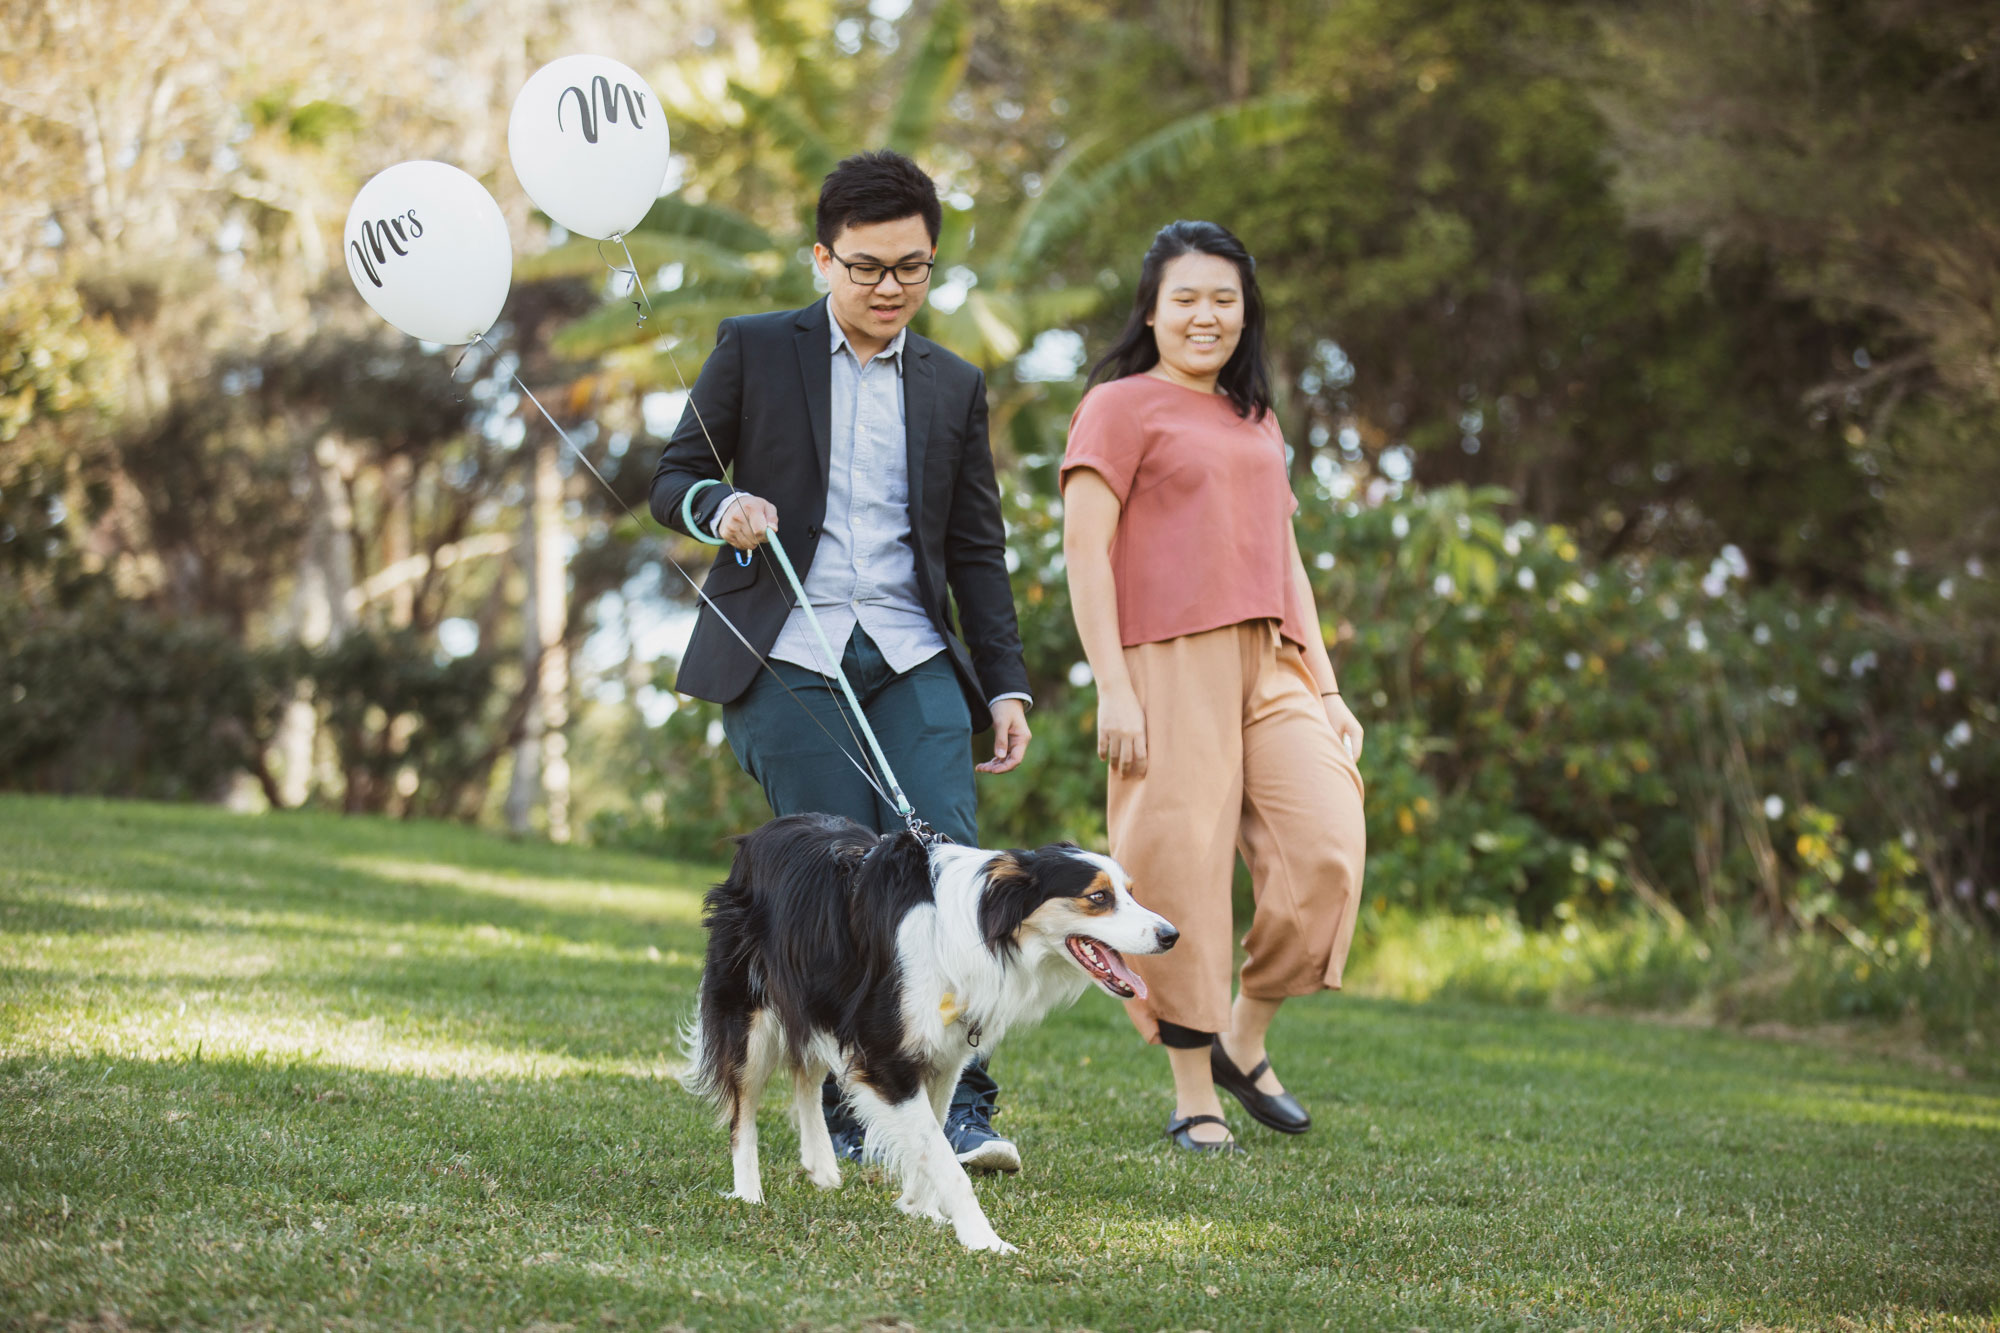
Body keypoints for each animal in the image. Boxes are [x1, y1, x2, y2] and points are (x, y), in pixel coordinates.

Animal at [688, 804, 1176, 1248]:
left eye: (1130, 892)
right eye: (1098, 898)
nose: (1171, 935)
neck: (982, 928)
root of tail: (760, 834)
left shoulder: (945, 1054)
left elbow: (934, 1137)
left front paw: (919, 1210)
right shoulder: (885, 1054)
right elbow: (942, 1157)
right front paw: (983, 1239)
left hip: (820, 997)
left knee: (805, 1074)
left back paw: (821, 1165)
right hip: (749, 1009)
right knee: (744, 1109)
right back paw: (749, 1193)